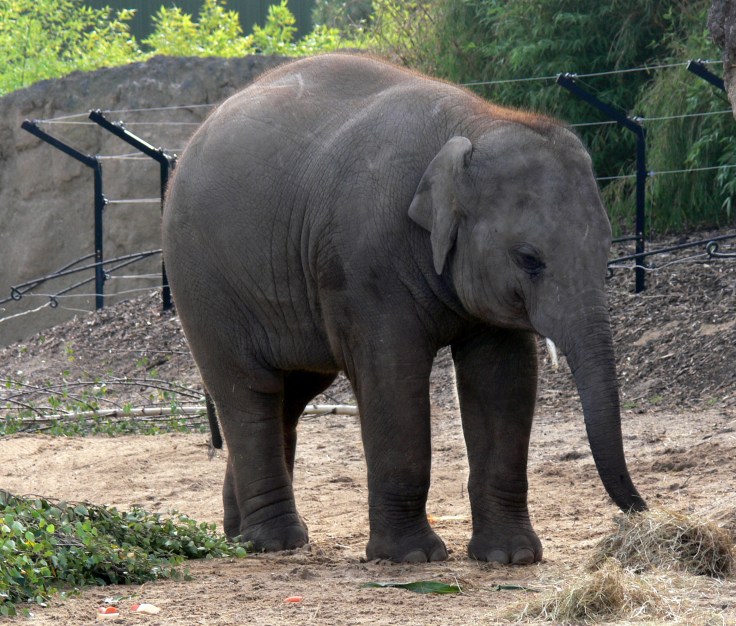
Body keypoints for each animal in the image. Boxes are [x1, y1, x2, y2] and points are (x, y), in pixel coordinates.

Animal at [162, 53, 646, 564]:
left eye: (606, 252)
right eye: (529, 259)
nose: (639, 510)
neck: (475, 124)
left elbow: (503, 379)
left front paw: (510, 558)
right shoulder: (365, 261)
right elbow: (392, 375)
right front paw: (412, 558)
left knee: (291, 395)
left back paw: (240, 535)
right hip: (202, 283)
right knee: (250, 391)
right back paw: (276, 543)